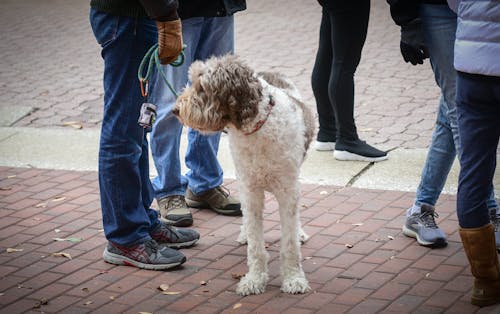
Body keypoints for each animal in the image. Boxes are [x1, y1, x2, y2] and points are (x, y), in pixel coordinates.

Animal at [174, 54, 314, 296]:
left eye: (202, 87)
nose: (176, 109)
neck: (258, 128)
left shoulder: (287, 190)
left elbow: (289, 244)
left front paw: (293, 278)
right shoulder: (250, 189)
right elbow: (256, 245)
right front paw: (255, 280)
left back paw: (299, 233)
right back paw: (244, 233)